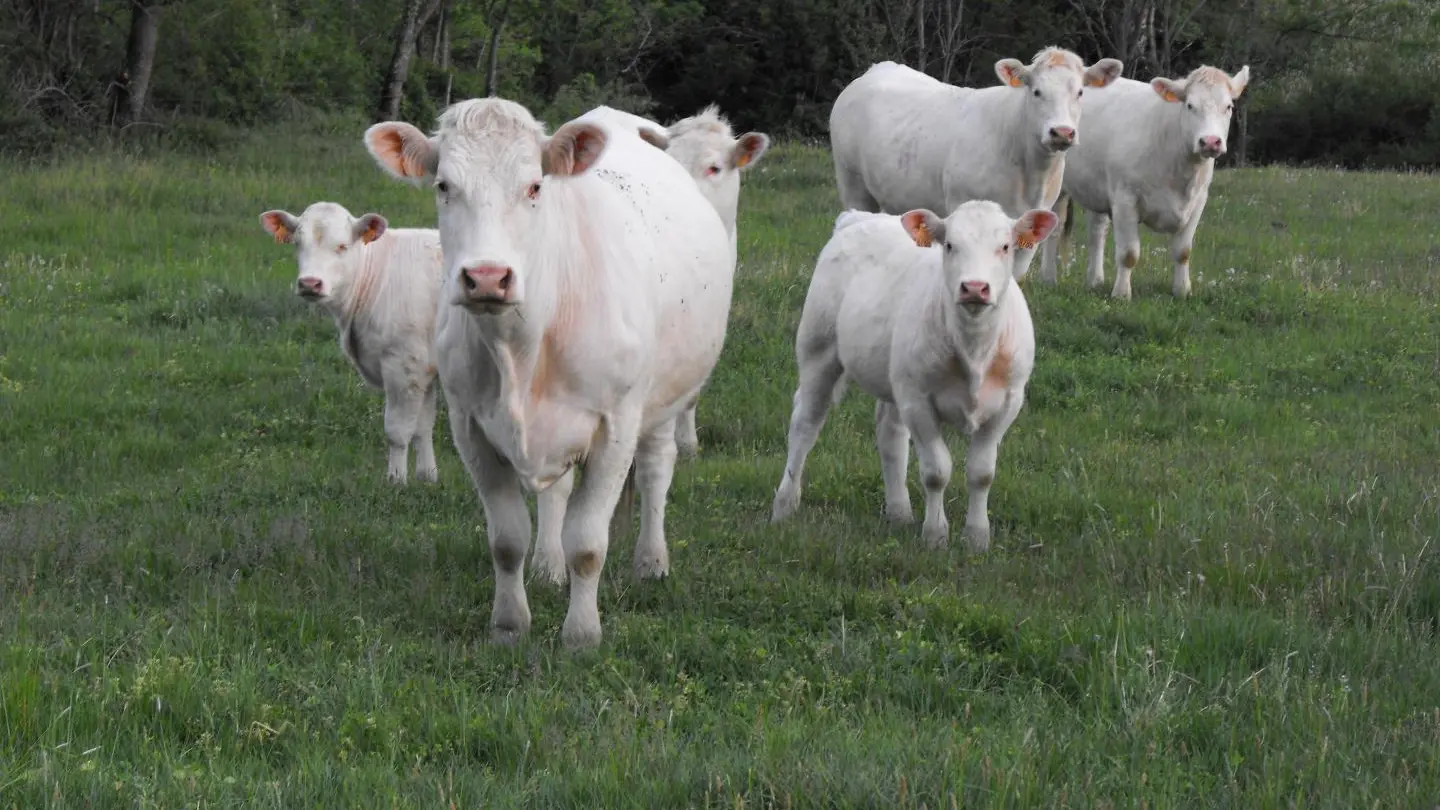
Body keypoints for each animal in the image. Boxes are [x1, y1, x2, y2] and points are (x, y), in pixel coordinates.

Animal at [259, 202, 443, 485]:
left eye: (342, 246)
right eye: (297, 243)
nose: (310, 283)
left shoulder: (404, 365)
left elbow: (398, 431)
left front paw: (396, 481)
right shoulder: (424, 367)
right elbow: (423, 427)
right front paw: (428, 477)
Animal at [363, 97, 736, 650]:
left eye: (535, 186)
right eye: (444, 186)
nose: (487, 277)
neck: (520, 348)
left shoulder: (616, 425)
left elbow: (588, 543)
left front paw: (581, 635)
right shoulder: (470, 427)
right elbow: (506, 539)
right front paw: (509, 624)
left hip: (665, 398)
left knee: (655, 470)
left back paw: (651, 561)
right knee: (557, 493)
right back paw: (547, 566)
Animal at [770, 201, 1059, 552]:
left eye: (1005, 246)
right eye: (950, 245)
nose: (975, 287)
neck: (973, 349)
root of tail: (858, 217)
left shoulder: (1007, 404)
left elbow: (982, 473)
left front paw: (977, 537)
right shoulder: (918, 401)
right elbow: (936, 471)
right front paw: (935, 535)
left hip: (894, 376)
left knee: (890, 434)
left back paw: (899, 512)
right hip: (819, 350)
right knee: (805, 424)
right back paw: (785, 504)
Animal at [829, 47, 1122, 280]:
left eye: (1080, 92)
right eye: (1037, 91)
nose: (1061, 132)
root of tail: (876, 69)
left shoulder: (1033, 224)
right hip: (852, 183)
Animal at [1037, 64, 1251, 299]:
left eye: (1229, 106)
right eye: (1190, 105)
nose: (1211, 142)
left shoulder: (1198, 201)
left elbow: (1183, 252)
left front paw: (1182, 291)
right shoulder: (1125, 200)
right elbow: (1129, 254)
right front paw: (1121, 294)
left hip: (1096, 188)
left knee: (1096, 232)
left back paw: (1095, 281)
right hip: (1058, 186)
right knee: (1055, 229)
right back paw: (1048, 278)